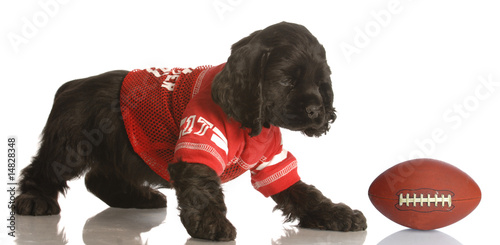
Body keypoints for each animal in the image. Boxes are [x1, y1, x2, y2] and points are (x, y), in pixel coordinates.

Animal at [15, 22, 368, 240]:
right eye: (287, 80)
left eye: (321, 83)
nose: (316, 111)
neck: (250, 122)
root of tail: (72, 84)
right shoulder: (198, 145)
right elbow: (204, 189)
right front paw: (211, 223)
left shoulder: (273, 163)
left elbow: (304, 192)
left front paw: (337, 214)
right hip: (71, 144)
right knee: (43, 170)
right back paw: (33, 201)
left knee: (99, 179)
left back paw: (141, 197)